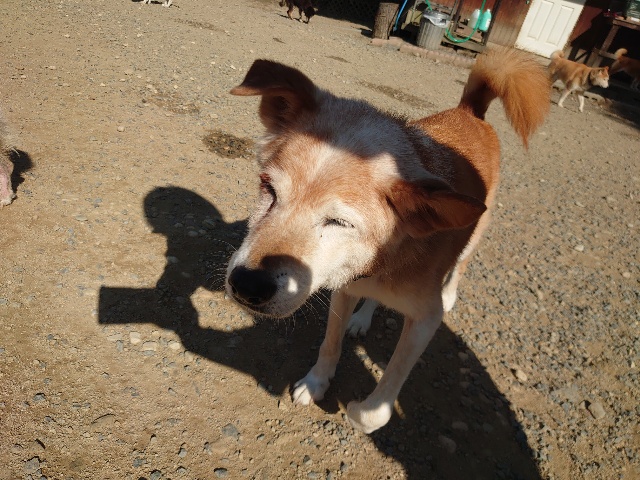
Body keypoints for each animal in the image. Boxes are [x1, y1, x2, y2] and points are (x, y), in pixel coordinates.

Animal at [225, 48, 550, 433]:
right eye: (269, 189)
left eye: (339, 222)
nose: (246, 285)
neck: (381, 265)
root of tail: (469, 111)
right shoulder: (345, 287)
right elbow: (330, 344)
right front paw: (317, 382)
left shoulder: (425, 320)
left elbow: (376, 408)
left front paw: (356, 410)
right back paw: (362, 319)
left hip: (475, 237)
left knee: (460, 266)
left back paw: (449, 293)